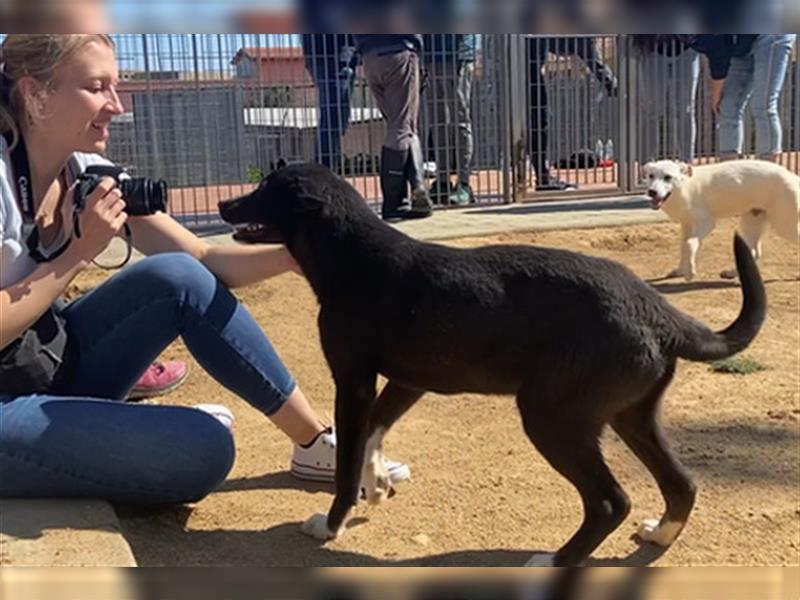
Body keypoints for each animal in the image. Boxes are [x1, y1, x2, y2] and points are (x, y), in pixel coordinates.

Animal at [217, 162, 764, 564]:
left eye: (265, 189)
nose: (223, 203)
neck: (354, 255)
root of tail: (656, 309)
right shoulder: (408, 380)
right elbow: (374, 431)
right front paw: (377, 486)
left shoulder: (353, 380)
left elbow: (350, 457)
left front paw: (332, 524)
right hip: (632, 415)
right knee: (682, 484)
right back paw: (658, 536)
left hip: (551, 416)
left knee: (611, 501)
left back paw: (555, 561)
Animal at [644, 161, 800, 280]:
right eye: (651, 176)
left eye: (667, 177)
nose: (651, 192)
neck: (686, 187)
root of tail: (793, 176)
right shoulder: (686, 224)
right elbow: (683, 247)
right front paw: (680, 271)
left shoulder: (707, 223)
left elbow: (690, 244)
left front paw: (689, 273)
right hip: (751, 222)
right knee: (755, 252)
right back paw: (732, 273)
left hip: (785, 224)